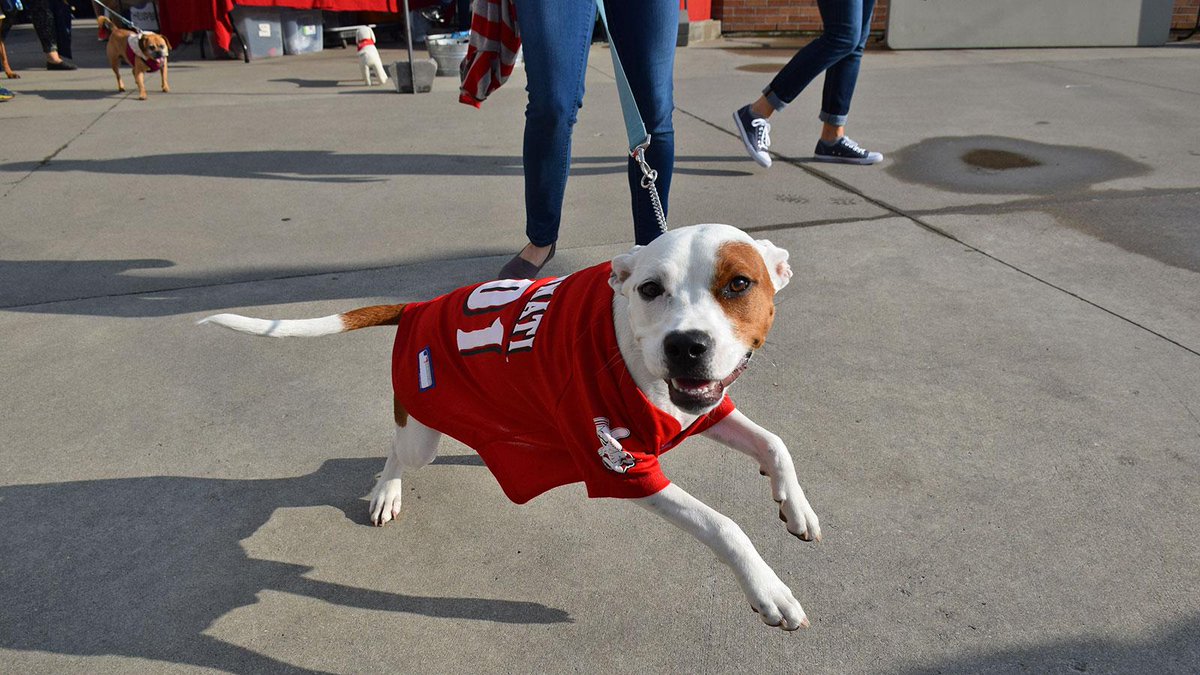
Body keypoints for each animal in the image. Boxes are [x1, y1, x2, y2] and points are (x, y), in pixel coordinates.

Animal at [204, 223, 825, 629]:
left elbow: (776, 443)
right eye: (650, 289)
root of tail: (418, 306)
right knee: (397, 451)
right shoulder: (622, 469)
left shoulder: (704, 409)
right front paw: (768, 590)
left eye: (739, 284)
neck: (624, 345)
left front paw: (795, 507)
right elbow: (723, 525)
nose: (685, 345)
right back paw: (386, 492)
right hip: (422, 433)